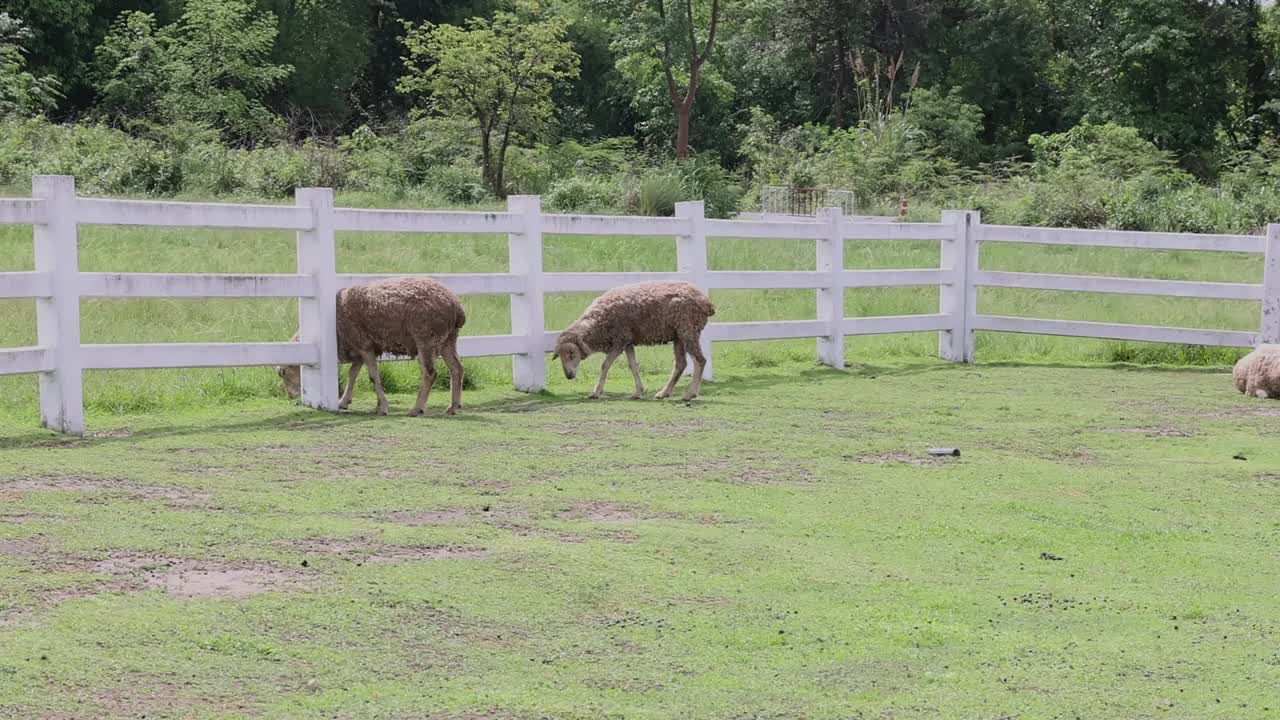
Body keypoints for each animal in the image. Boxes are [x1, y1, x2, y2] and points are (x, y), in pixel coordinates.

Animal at [277, 275, 468, 415]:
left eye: (284, 373)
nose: (291, 397)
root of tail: (456, 307)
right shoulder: (359, 348)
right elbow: (352, 374)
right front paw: (344, 401)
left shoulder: (364, 345)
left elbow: (373, 376)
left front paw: (382, 407)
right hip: (448, 339)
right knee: (457, 368)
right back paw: (453, 406)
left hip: (426, 338)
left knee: (430, 373)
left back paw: (417, 408)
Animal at [552, 280, 716, 399]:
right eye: (559, 355)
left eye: (572, 354)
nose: (568, 376)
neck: (599, 324)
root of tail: (706, 302)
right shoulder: (627, 341)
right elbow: (633, 366)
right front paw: (638, 392)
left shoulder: (619, 340)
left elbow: (605, 365)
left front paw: (596, 392)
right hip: (678, 336)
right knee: (681, 364)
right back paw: (664, 393)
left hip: (688, 330)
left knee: (700, 360)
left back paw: (690, 394)